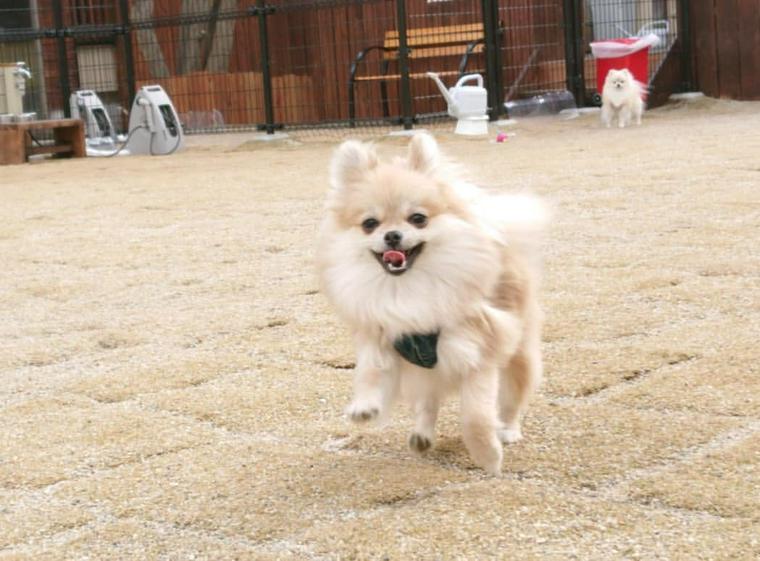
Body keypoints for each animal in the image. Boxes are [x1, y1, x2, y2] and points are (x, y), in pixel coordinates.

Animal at [316, 132, 548, 472]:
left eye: (418, 219)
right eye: (370, 223)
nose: (392, 235)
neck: (407, 288)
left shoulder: (478, 350)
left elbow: (476, 416)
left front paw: (488, 456)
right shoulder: (385, 337)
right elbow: (371, 372)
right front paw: (364, 406)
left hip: (517, 352)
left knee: (511, 397)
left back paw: (508, 430)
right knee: (429, 398)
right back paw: (422, 434)